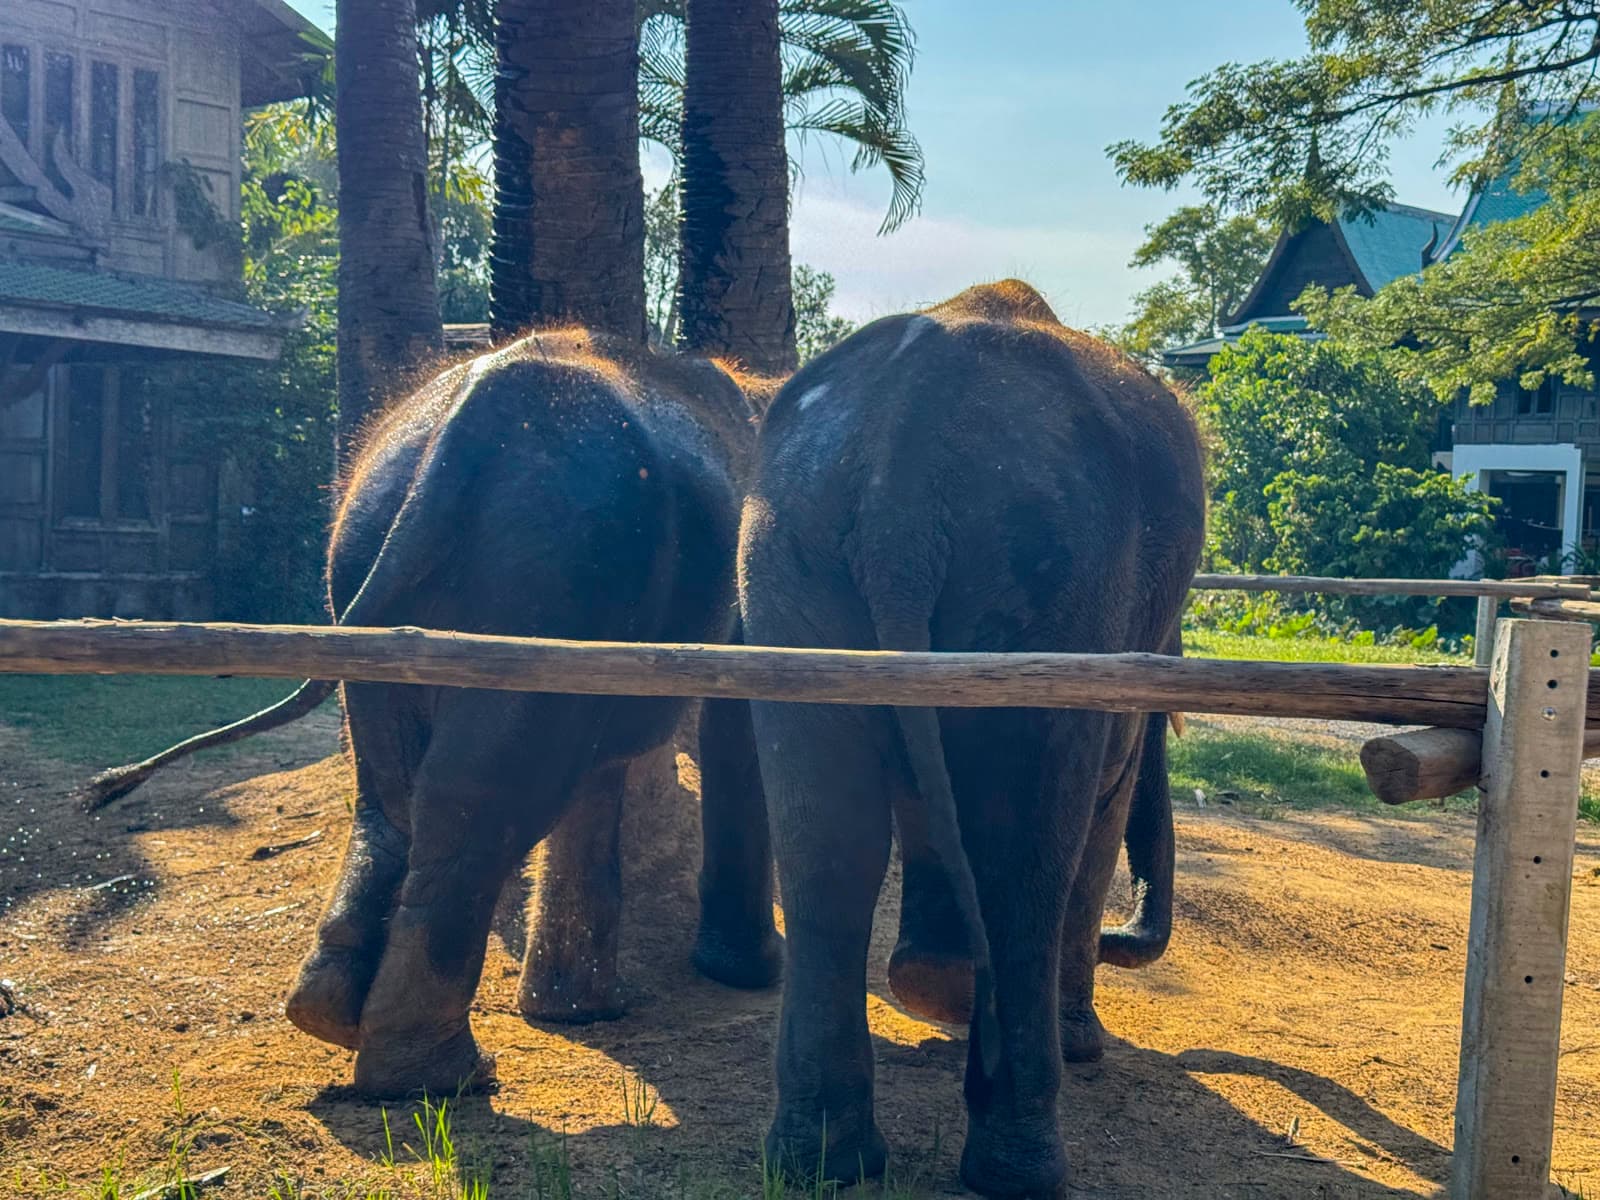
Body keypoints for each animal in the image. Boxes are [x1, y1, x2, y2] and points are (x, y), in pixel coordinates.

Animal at [736, 280, 1205, 1198]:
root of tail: (899, 477)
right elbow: (1100, 799)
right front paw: (1063, 1037)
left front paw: (935, 987)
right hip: (1049, 577)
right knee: (1024, 855)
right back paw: (1020, 1168)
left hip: (789, 563)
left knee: (829, 846)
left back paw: (819, 1164)